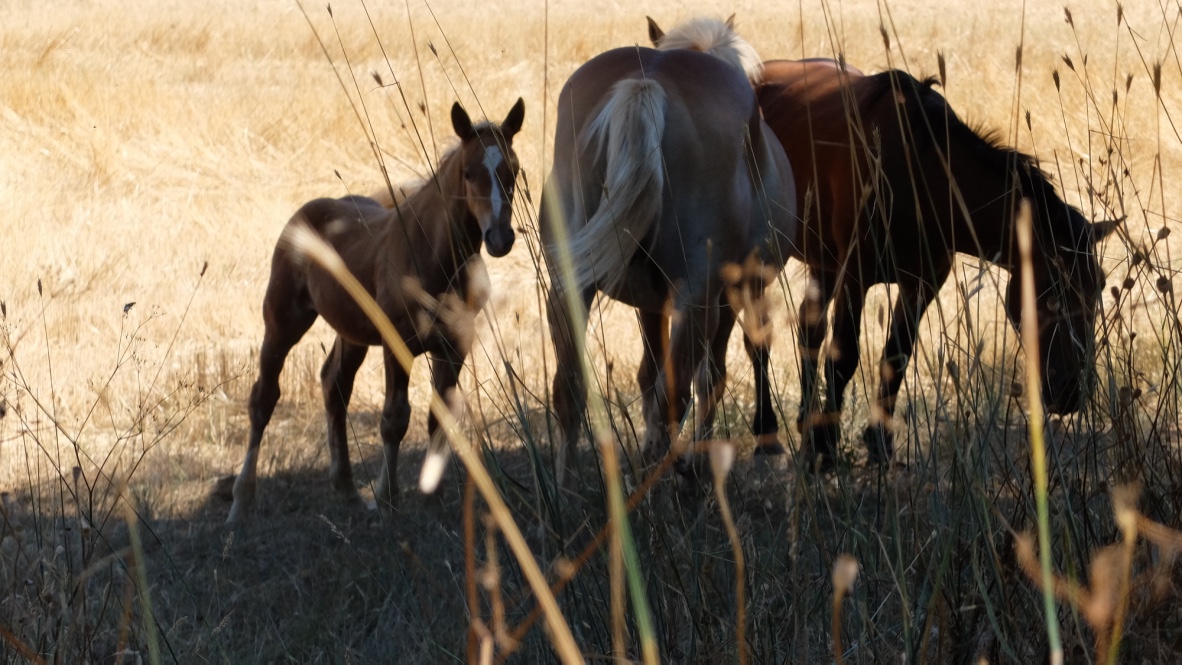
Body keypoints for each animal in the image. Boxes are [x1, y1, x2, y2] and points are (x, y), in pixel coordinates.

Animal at [226, 98, 525, 522]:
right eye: (469, 172)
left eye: (513, 171)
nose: (499, 238)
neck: (433, 256)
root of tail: (306, 213)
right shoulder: (397, 343)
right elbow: (394, 418)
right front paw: (387, 499)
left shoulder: (454, 347)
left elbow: (439, 417)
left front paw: (429, 496)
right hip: (283, 321)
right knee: (264, 397)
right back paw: (241, 502)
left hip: (352, 332)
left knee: (334, 385)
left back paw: (348, 489)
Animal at [541, 16, 797, 486]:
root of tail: (647, 82)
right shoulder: (726, 299)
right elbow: (710, 377)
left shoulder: (650, 304)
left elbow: (647, 374)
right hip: (699, 299)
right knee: (675, 394)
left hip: (572, 289)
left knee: (569, 389)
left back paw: (566, 489)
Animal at [755, 59, 1117, 470]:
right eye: (1049, 288)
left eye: (1099, 287)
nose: (1072, 391)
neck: (920, 175)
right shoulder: (856, 276)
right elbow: (844, 357)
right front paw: (828, 450)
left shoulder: (922, 283)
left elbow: (895, 356)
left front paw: (878, 444)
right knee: (760, 333)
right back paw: (768, 432)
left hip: (824, 264)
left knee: (808, 329)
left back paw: (805, 423)